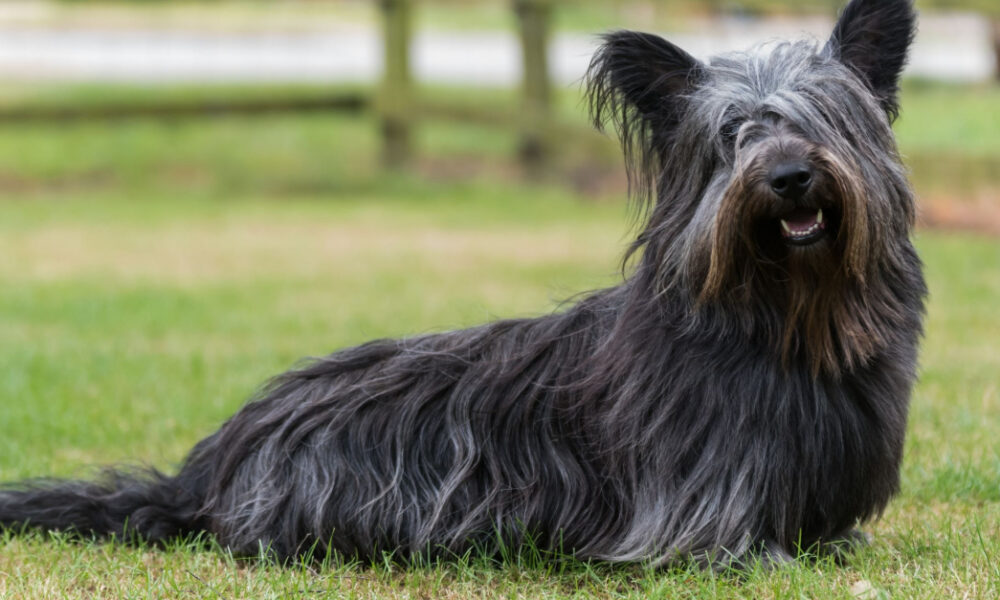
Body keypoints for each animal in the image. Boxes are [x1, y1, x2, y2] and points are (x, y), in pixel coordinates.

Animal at [0, 0, 924, 568]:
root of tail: (204, 473)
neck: (780, 317)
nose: (791, 177)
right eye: (733, 135)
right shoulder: (690, 510)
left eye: (827, 118)